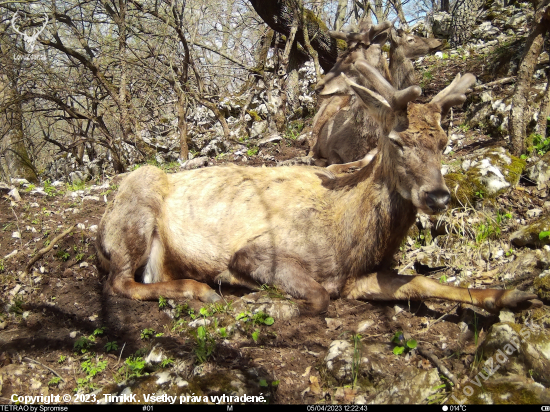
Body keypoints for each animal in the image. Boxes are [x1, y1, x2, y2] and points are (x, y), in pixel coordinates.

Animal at [96, 62, 544, 316]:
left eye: (444, 142)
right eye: (396, 141)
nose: (437, 196)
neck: (349, 235)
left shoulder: (357, 277)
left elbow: (423, 283)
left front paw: (513, 295)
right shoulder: (258, 250)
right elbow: (317, 297)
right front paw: (259, 301)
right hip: (136, 203)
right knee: (118, 283)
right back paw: (201, 291)